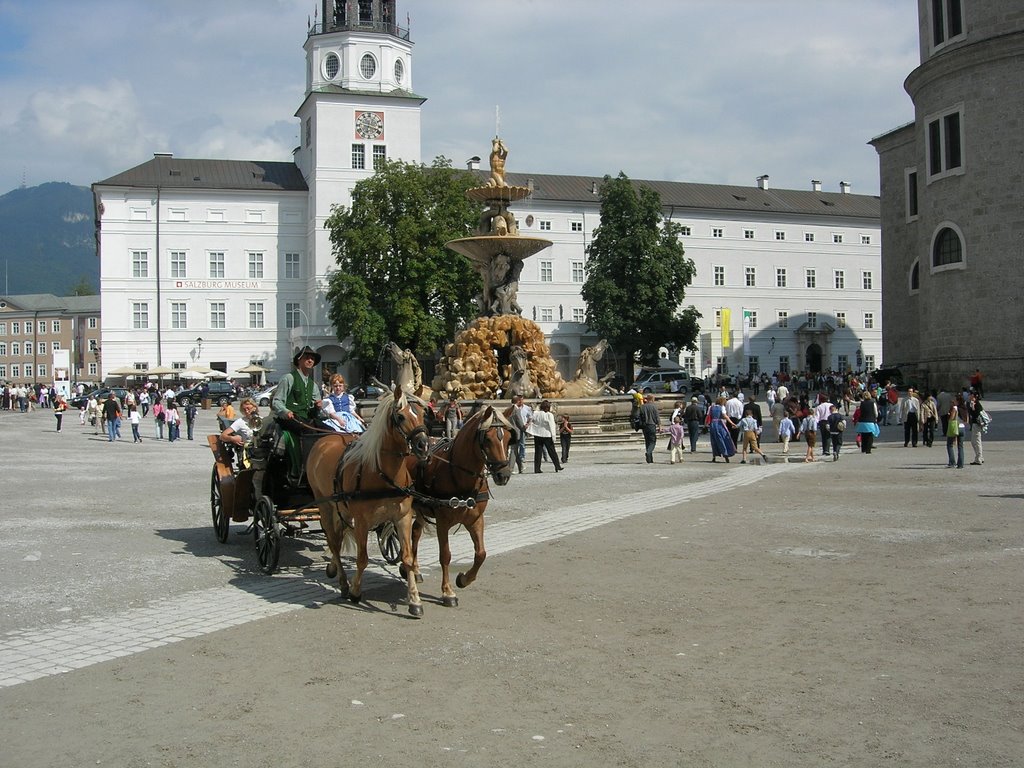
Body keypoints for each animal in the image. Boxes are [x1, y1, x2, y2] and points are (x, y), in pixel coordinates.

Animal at [305, 387, 430, 618]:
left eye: (422, 414)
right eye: (400, 416)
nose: (423, 445)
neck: (382, 474)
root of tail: (324, 440)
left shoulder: (403, 517)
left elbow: (407, 558)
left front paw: (415, 600)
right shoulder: (362, 522)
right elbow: (362, 558)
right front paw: (355, 590)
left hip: (342, 508)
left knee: (338, 536)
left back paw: (333, 568)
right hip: (325, 505)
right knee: (333, 541)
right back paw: (343, 583)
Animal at [407, 405, 516, 610]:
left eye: (507, 437)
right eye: (487, 439)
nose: (503, 475)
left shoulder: (476, 520)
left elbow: (481, 554)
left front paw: (464, 579)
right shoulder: (442, 523)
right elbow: (445, 555)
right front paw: (447, 592)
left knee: (415, 532)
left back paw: (415, 571)